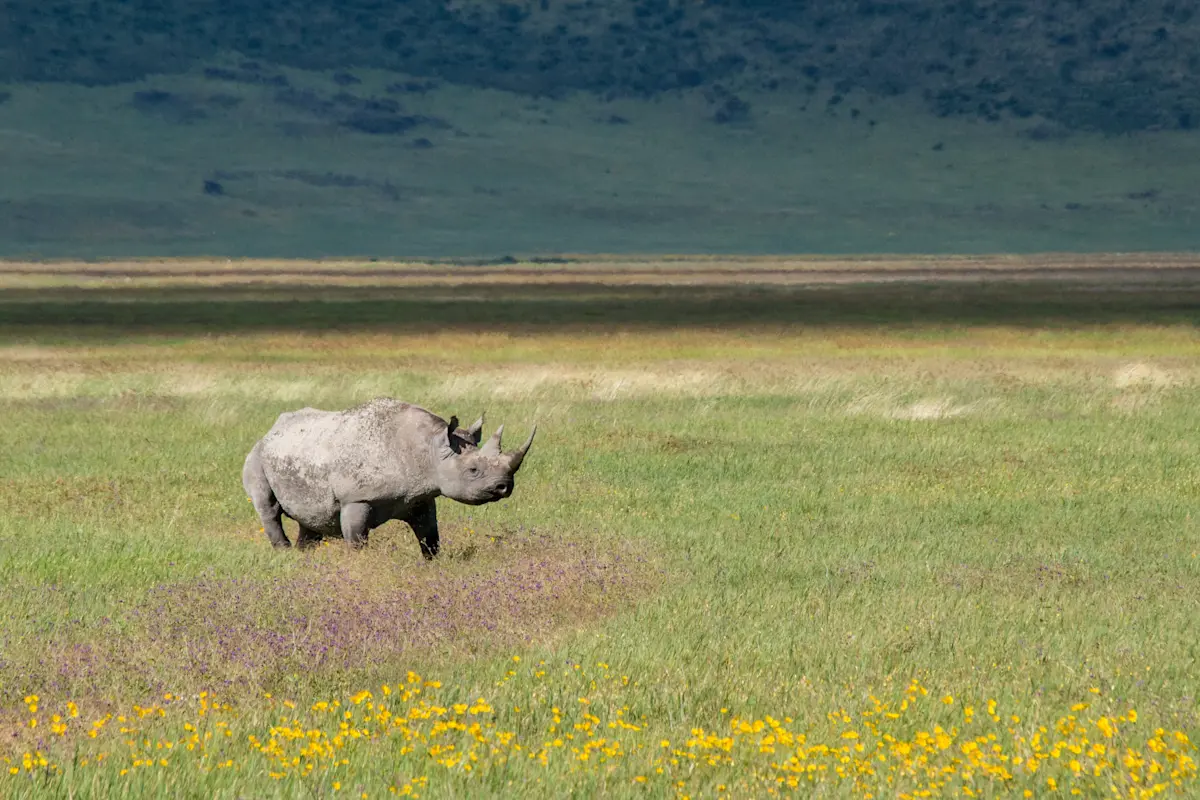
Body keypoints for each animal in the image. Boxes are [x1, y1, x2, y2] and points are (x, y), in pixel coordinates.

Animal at [241, 398, 535, 558]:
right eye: (473, 470)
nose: (504, 487)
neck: (428, 448)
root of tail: (270, 432)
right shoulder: (355, 499)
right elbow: (357, 541)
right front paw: (359, 565)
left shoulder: (420, 497)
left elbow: (430, 537)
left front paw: (432, 563)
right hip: (256, 455)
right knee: (268, 507)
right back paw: (284, 552)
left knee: (311, 518)